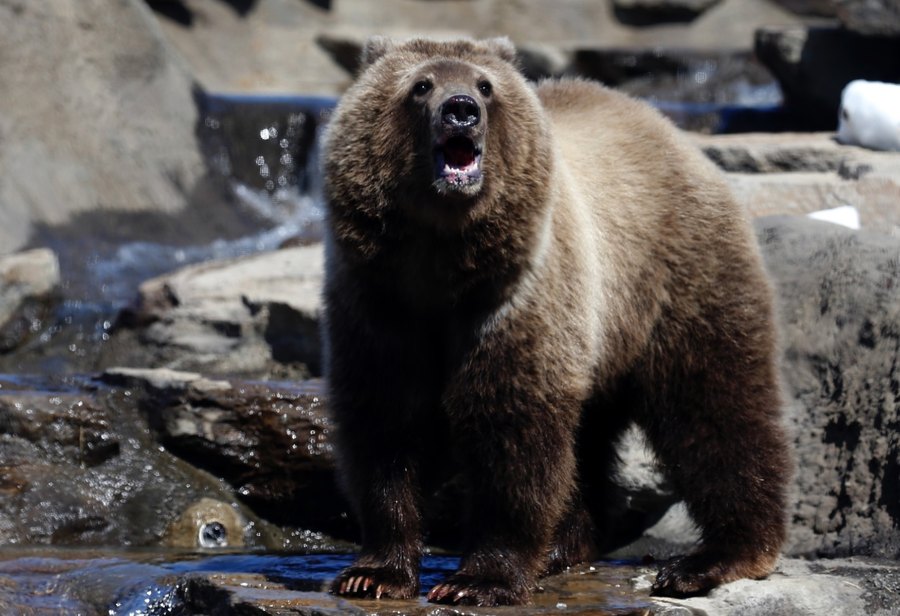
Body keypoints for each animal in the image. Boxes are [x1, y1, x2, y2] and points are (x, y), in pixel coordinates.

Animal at [320, 36, 790, 606]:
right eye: (421, 85)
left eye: (485, 85)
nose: (461, 110)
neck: (442, 260)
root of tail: (669, 130)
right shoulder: (379, 302)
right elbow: (384, 423)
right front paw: (374, 572)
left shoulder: (515, 298)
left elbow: (511, 428)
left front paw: (478, 580)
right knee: (591, 436)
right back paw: (566, 546)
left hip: (676, 279)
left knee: (716, 406)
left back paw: (714, 558)